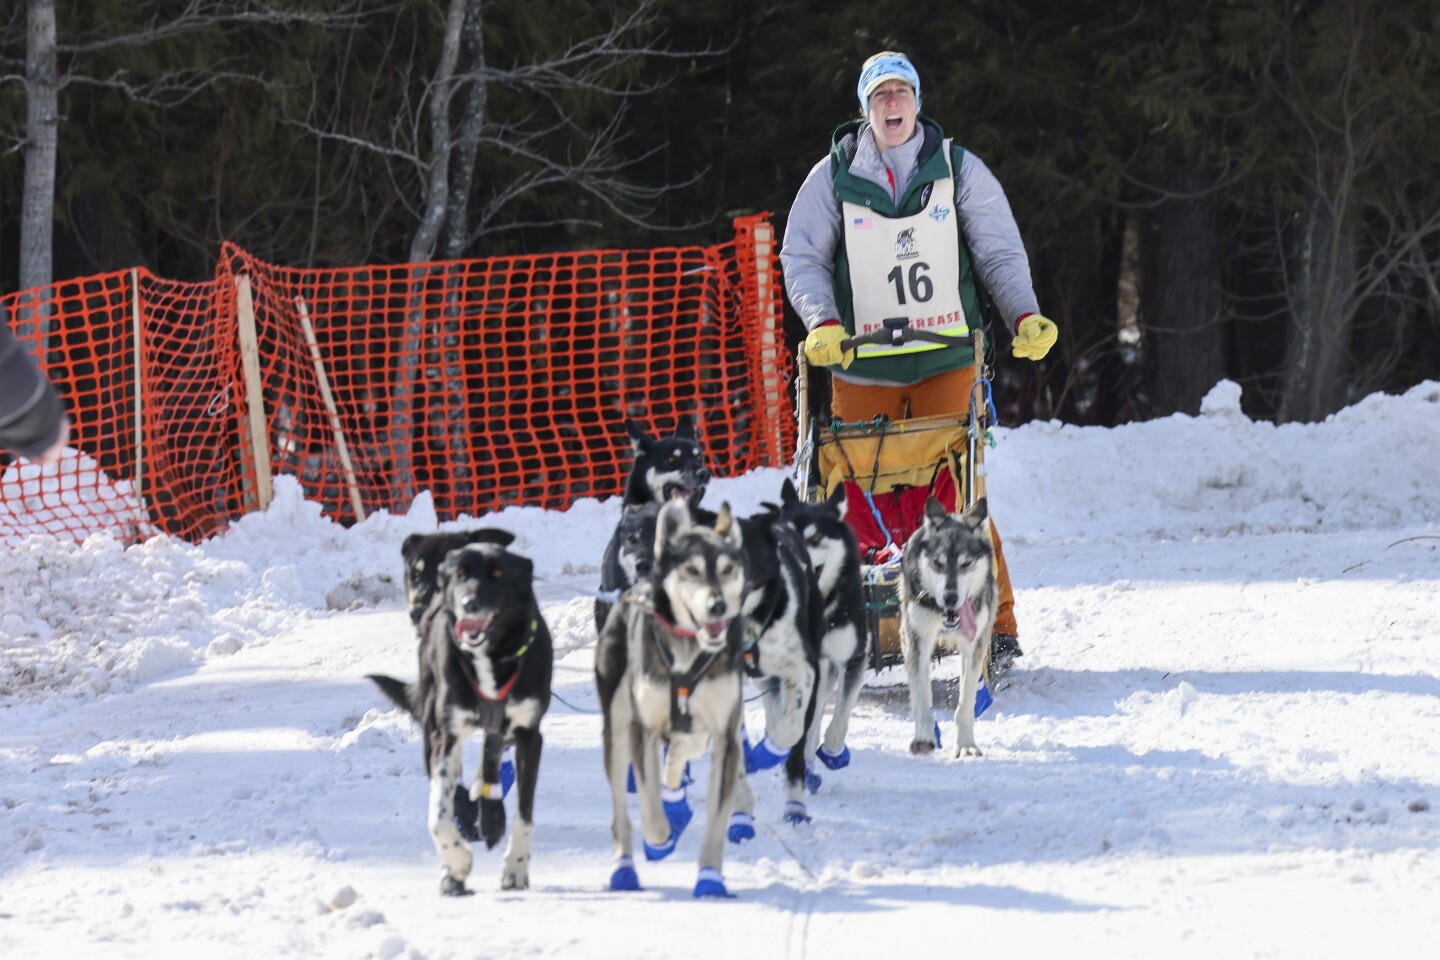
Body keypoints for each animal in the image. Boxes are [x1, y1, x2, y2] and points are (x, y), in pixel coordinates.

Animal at [368, 541, 552, 892]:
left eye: (498, 575)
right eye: (460, 575)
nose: (470, 603)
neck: (490, 656)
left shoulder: (529, 735)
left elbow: (524, 813)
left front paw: (515, 868)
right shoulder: (445, 734)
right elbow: (438, 815)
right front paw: (457, 863)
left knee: (491, 764)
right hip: (433, 724)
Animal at [599, 500, 748, 898]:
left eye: (728, 569)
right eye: (692, 570)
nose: (717, 606)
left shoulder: (725, 734)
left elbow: (717, 815)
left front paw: (710, 876)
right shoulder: (643, 728)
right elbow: (649, 805)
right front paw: (660, 838)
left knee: (685, 749)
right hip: (616, 728)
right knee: (619, 811)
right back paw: (624, 869)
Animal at [898, 495, 1002, 759]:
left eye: (966, 563)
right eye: (938, 563)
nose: (951, 597)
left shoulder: (974, 646)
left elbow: (965, 702)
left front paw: (966, 745)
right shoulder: (915, 640)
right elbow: (921, 698)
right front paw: (924, 738)